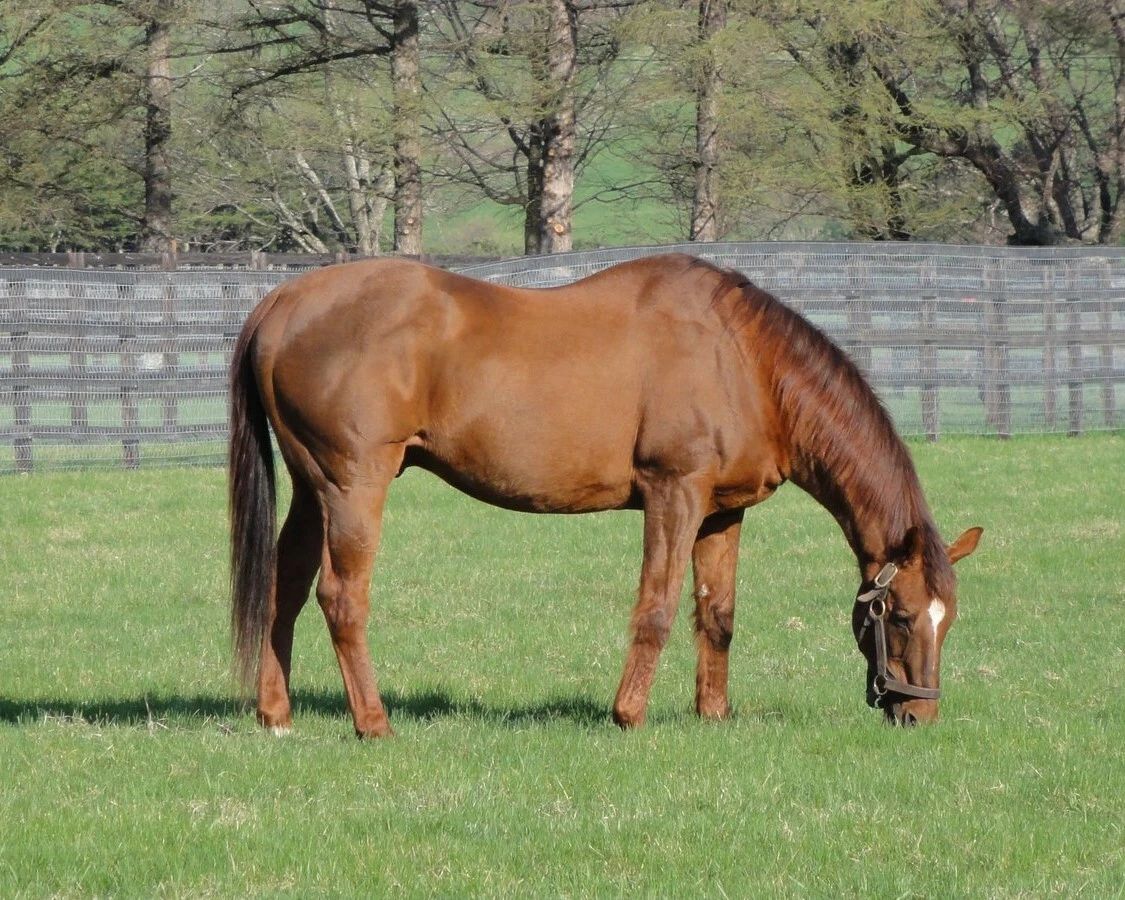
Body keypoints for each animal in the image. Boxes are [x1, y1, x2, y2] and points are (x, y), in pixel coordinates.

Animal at [228, 253, 982, 737]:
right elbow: (656, 608)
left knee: (283, 588)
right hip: (354, 485)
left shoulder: (722, 512)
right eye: (902, 616)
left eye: (947, 620)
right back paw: (373, 722)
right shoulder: (674, 494)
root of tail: (281, 303)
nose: (919, 714)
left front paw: (714, 715)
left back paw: (277, 715)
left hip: (312, 489)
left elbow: (717, 616)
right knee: (340, 598)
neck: (743, 358)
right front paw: (628, 715)